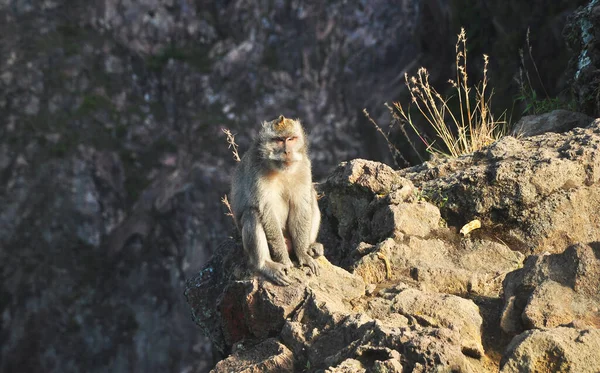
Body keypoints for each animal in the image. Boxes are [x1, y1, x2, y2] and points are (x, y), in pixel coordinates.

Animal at [230, 114, 324, 284]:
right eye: (279, 140)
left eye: (291, 138)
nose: (287, 151)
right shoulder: (256, 170)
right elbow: (266, 211)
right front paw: (284, 260)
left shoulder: (304, 165)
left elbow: (301, 205)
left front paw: (303, 254)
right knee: (252, 214)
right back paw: (265, 265)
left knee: (311, 197)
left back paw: (311, 247)